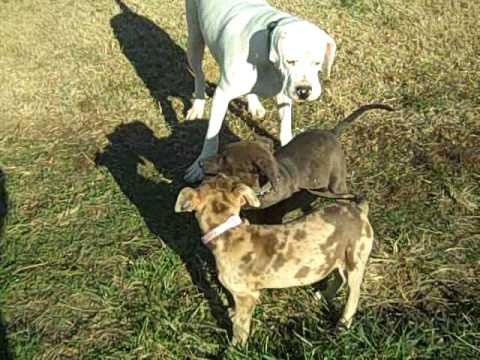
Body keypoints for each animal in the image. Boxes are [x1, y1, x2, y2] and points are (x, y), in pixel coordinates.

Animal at [182, 0, 336, 180]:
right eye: (290, 61)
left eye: (317, 63)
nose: (303, 91)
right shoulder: (222, 95)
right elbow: (211, 136)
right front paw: (200, 165)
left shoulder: (284, 94)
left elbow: (285, 127)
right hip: (194, 40)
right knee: (199, 75)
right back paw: (197, 106)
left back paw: (254, 105)